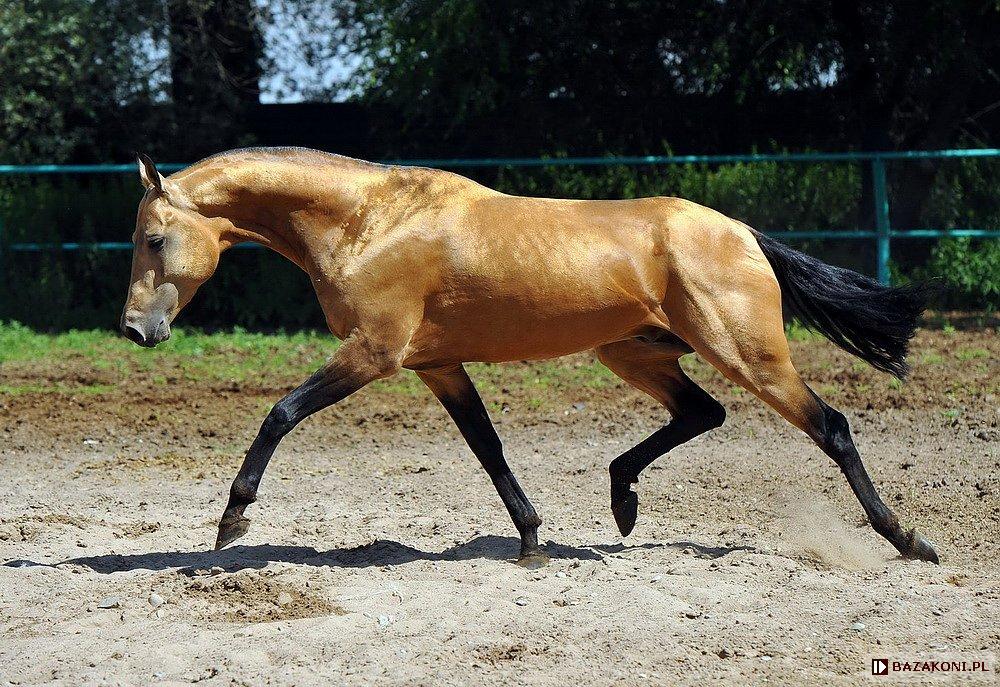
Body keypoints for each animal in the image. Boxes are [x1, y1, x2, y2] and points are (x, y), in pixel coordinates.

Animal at [119, 148, 936, 568]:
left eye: (154, 238)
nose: (133, 330)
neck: (370, 222)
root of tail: (742, 232)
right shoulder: (436, 366)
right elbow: (488, 447)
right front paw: (533, 539)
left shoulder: (374, 353)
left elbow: (280, 412)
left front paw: (232, 521)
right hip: (633, 354)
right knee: (702, 412)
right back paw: (622, 502)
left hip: (748, 353)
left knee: (831, 426)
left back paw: (908, 541)